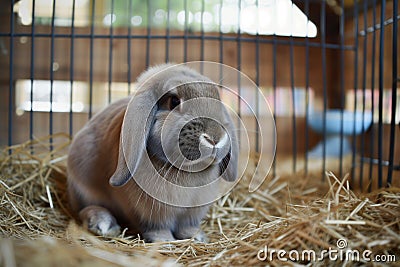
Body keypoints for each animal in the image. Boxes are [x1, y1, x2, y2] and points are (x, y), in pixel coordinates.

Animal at [67, 63, 239, 244]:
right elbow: (157, 227)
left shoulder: (191, 213)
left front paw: (197, 237)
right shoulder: (150, 213)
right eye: (174, 101)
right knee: (84, 209)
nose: (215, 138)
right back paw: (103, 224)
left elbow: (187, 226)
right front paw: (164, 242)